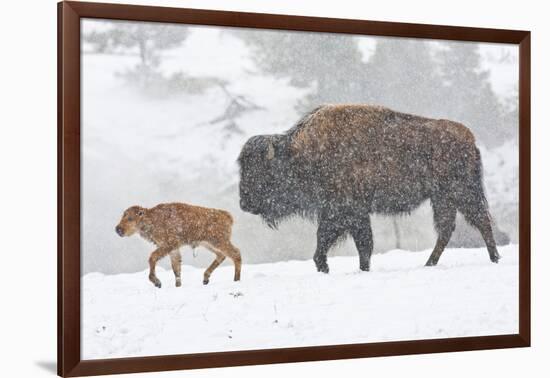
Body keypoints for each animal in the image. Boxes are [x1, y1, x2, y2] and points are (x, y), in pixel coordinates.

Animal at [237, 105, 500, 274]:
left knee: (480, 221)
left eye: (261, 171)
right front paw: (349, 268)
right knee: (448, 228)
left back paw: (494, 259)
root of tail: (470, 139)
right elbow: (359, 243)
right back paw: (430, 264)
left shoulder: (344, 210)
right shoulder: (350, 213)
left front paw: (327, 266)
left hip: (461, 192)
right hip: (443, 198)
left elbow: (344, 241)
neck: (301, 153)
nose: (244, 203)